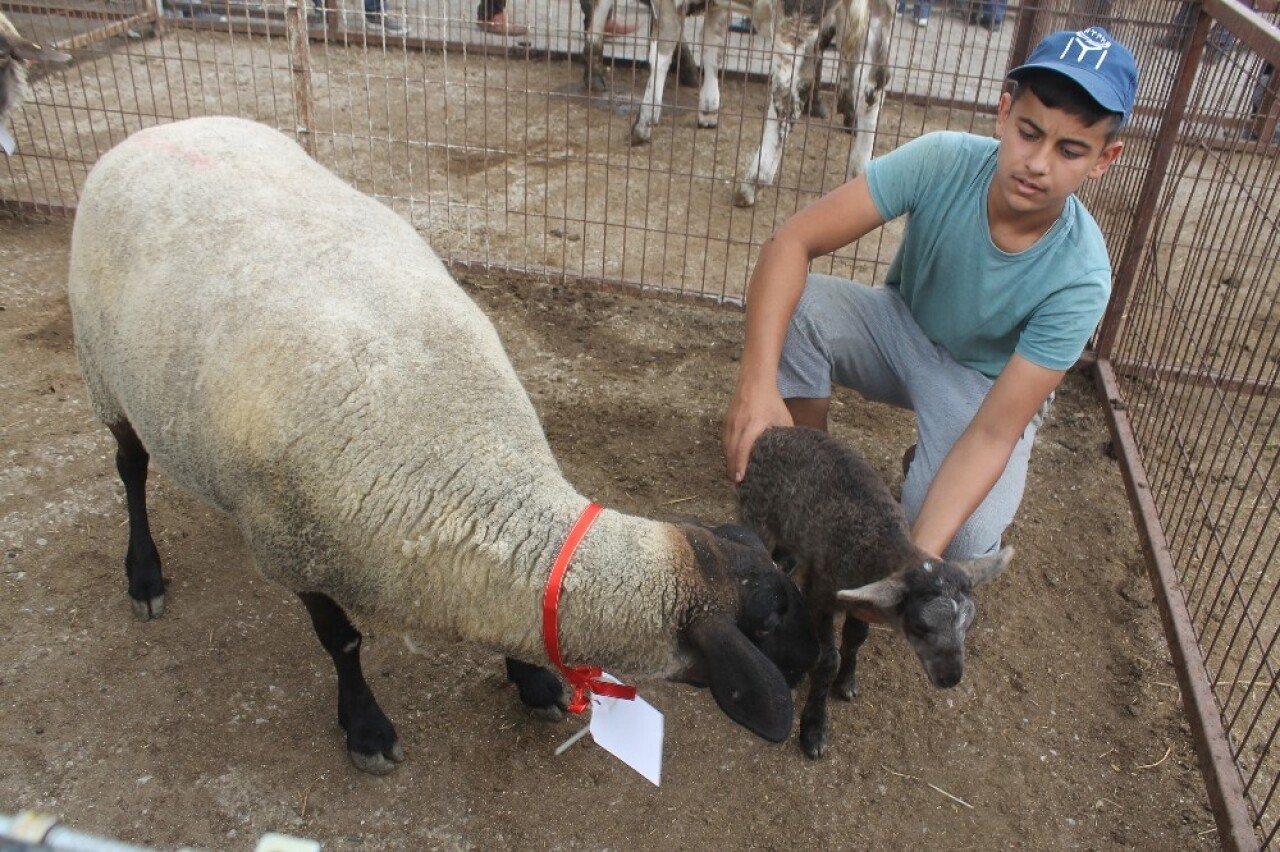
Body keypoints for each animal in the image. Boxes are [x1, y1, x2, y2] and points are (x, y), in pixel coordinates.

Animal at [67, 116, 819, 772]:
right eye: (772, 618)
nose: (818, 664)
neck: (461, 466)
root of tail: (160, 128)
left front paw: (532, 681)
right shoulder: (293, 550)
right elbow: (342, 640)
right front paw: (366, 729)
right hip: (100, 368)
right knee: (129, 467)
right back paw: (143, 574)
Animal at [742, 427, 1008, 752]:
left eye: (967, 626)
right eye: (919, 628)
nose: (951, 678)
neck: (880, 544)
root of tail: (772, 431)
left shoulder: (860, 601)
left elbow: (856, 638)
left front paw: (846, 682)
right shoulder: (819, 595)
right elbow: (827, 660)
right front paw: (814, 727)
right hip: (756, 511)